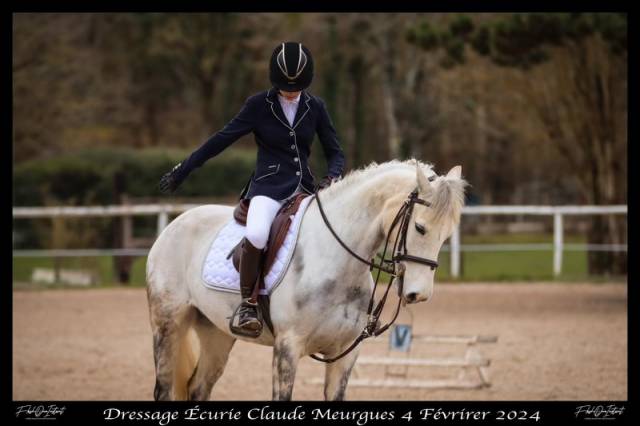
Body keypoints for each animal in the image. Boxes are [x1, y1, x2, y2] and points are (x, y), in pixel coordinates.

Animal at [145, 158, 466, 401]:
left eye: (447, 235)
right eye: (420, 228)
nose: (418, 294)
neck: (337, 259)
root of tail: (175, 222)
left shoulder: (345, 354)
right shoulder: (287, 349)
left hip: (217, 333)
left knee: (198, 388)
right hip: (168, 326)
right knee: (164, 389)